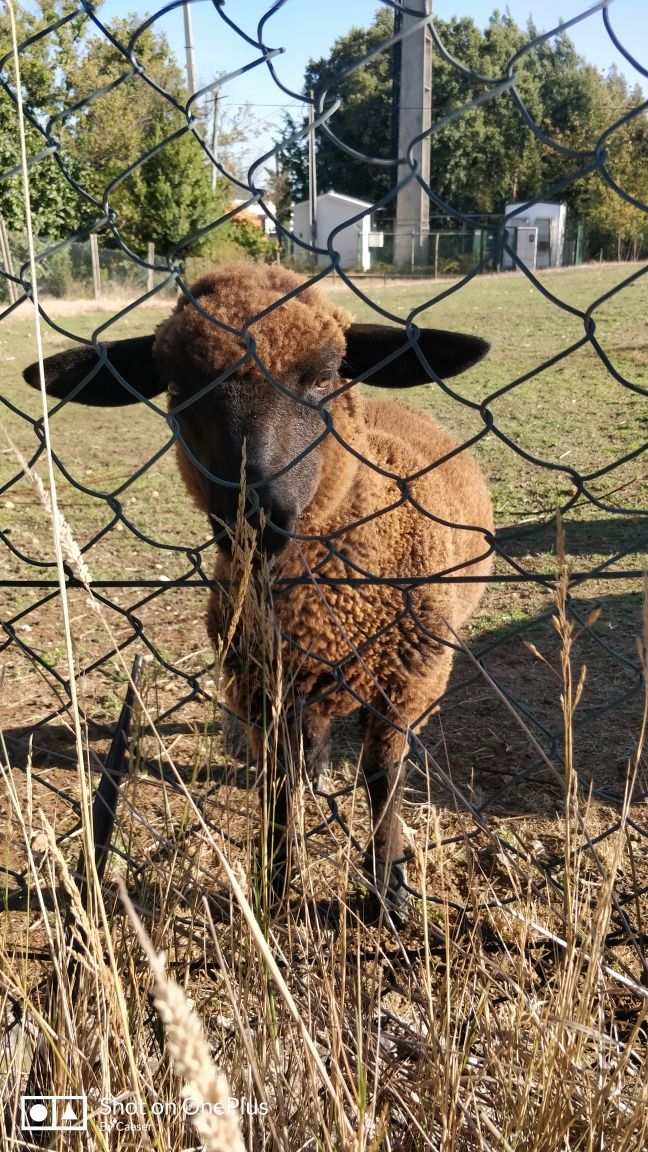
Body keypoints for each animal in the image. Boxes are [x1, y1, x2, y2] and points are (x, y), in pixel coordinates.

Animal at [22, 261, 491, 916]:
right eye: (176, 386)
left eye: (325, 375)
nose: (254, 515)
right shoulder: (259, 687)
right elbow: (278, 783)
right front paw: (275, 886)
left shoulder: (412, 681)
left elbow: (382, 776)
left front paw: (387, 889)